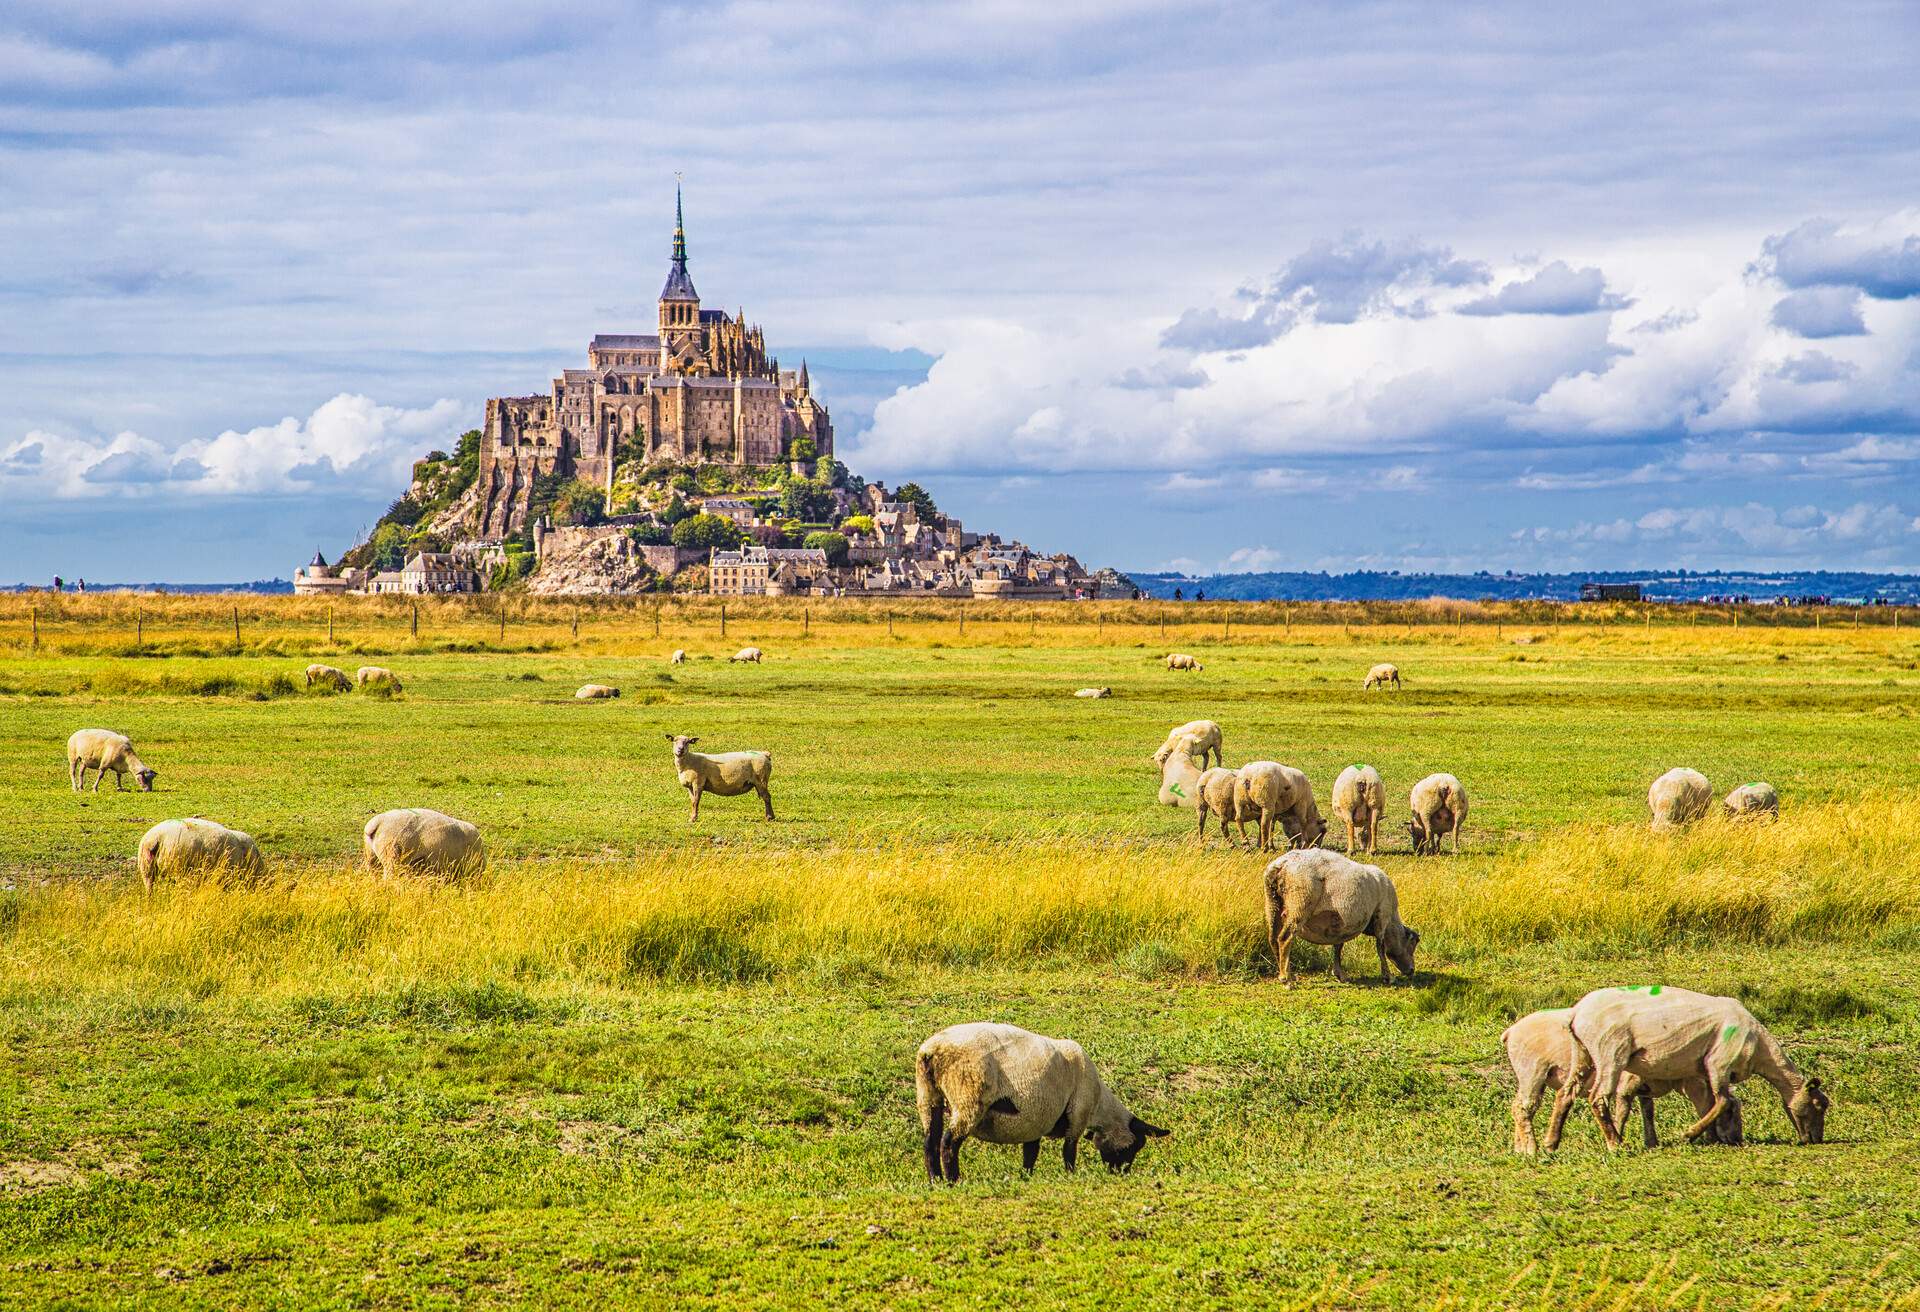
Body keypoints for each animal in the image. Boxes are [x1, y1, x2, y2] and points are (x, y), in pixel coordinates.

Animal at [913, 1021, 1167, 1183]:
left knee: (930, 1141)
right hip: (969, 1096)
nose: (1122, 1173)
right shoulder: (1078, 1114)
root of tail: (932, 1051)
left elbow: (1031, 1153)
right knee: (949, 1142)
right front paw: (1070, 1175)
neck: (1099, 1106)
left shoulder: (1035, 1120)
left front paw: (1026, 1176)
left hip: (927, 1094)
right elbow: (1069, 1151)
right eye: (1133, 1147)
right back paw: (953, 1180)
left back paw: (935, 1180)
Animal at [1267, 852, 1420, 983]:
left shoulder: (1340, 924)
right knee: (1285, 938)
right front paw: (1388, 976)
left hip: (1273, 904)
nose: (1412, 971)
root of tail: (1281, 865)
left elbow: (1338, 946)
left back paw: (1285, 973)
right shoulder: (1382, 915)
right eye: (1412, 943)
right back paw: (1286, 979)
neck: (1392, 922)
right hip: (1299, 904)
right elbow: (1380, 948)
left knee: (1273, 939)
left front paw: (1339, 974)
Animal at [1489, 1014, 1751, 1152]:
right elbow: (1623, 1112)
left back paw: (1521, 1148)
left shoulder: (1644, 1088)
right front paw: (1617, 1139)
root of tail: (1510, 1031)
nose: (1737, 1141)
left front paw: (1652, 1142)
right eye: (1731, 1111)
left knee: (1519, 1108)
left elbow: (1648, 1113)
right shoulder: (1626, 1086)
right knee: (1524, 1108)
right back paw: (1531, 1148)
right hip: (1532, 1071)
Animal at [1543, 983, 1827, 1152]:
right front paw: (1689, 1135)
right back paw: (1615, 1144)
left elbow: (1708, 1103)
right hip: (1610, 1051)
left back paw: (1551, 1143)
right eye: (1818, 1105)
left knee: (1565, 1093)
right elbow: (1722, 1101)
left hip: (1582, 1052)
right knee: (1598, 1097)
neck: (1761, 1050)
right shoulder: (1718, 1062)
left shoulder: (1701, 1073)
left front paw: (1711, 1138)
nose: (1815, 1139)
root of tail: (1577, 1013)